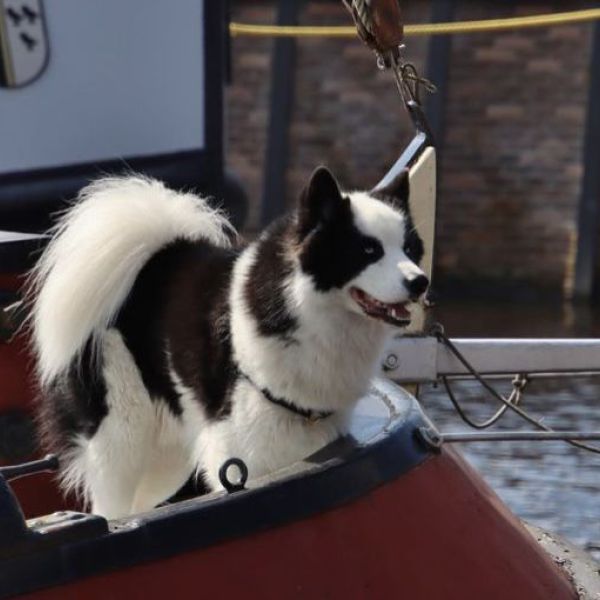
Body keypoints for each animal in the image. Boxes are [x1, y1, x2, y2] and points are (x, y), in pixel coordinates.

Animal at [31, 166, 426, 516]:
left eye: (409, 249)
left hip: (165, 454)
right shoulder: (242, 450)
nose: (420, 281)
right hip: (122, 434)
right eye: (368, 251)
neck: (305, 307)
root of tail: (160, 256)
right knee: (111, 506)